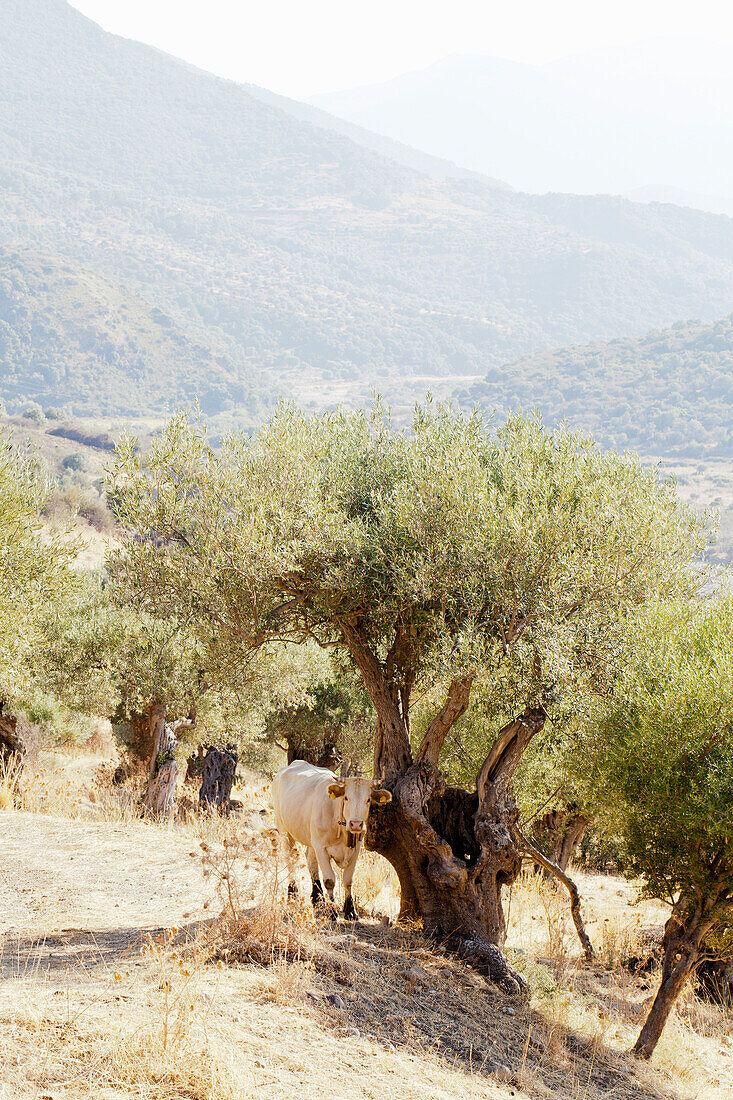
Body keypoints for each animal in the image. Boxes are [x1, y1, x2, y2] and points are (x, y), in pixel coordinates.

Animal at [270, 761, 391, 915]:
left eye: (368, 799)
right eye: (346, 798)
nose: (356, 824)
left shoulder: (356, 849)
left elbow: (348, 880)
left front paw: (350, 910)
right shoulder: (321, 847)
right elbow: (329, 880)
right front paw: (332, 911)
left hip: (310, 838)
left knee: (311, 861)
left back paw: (317, 898)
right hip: (284, 830)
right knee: (290, 858)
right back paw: (293, 893)